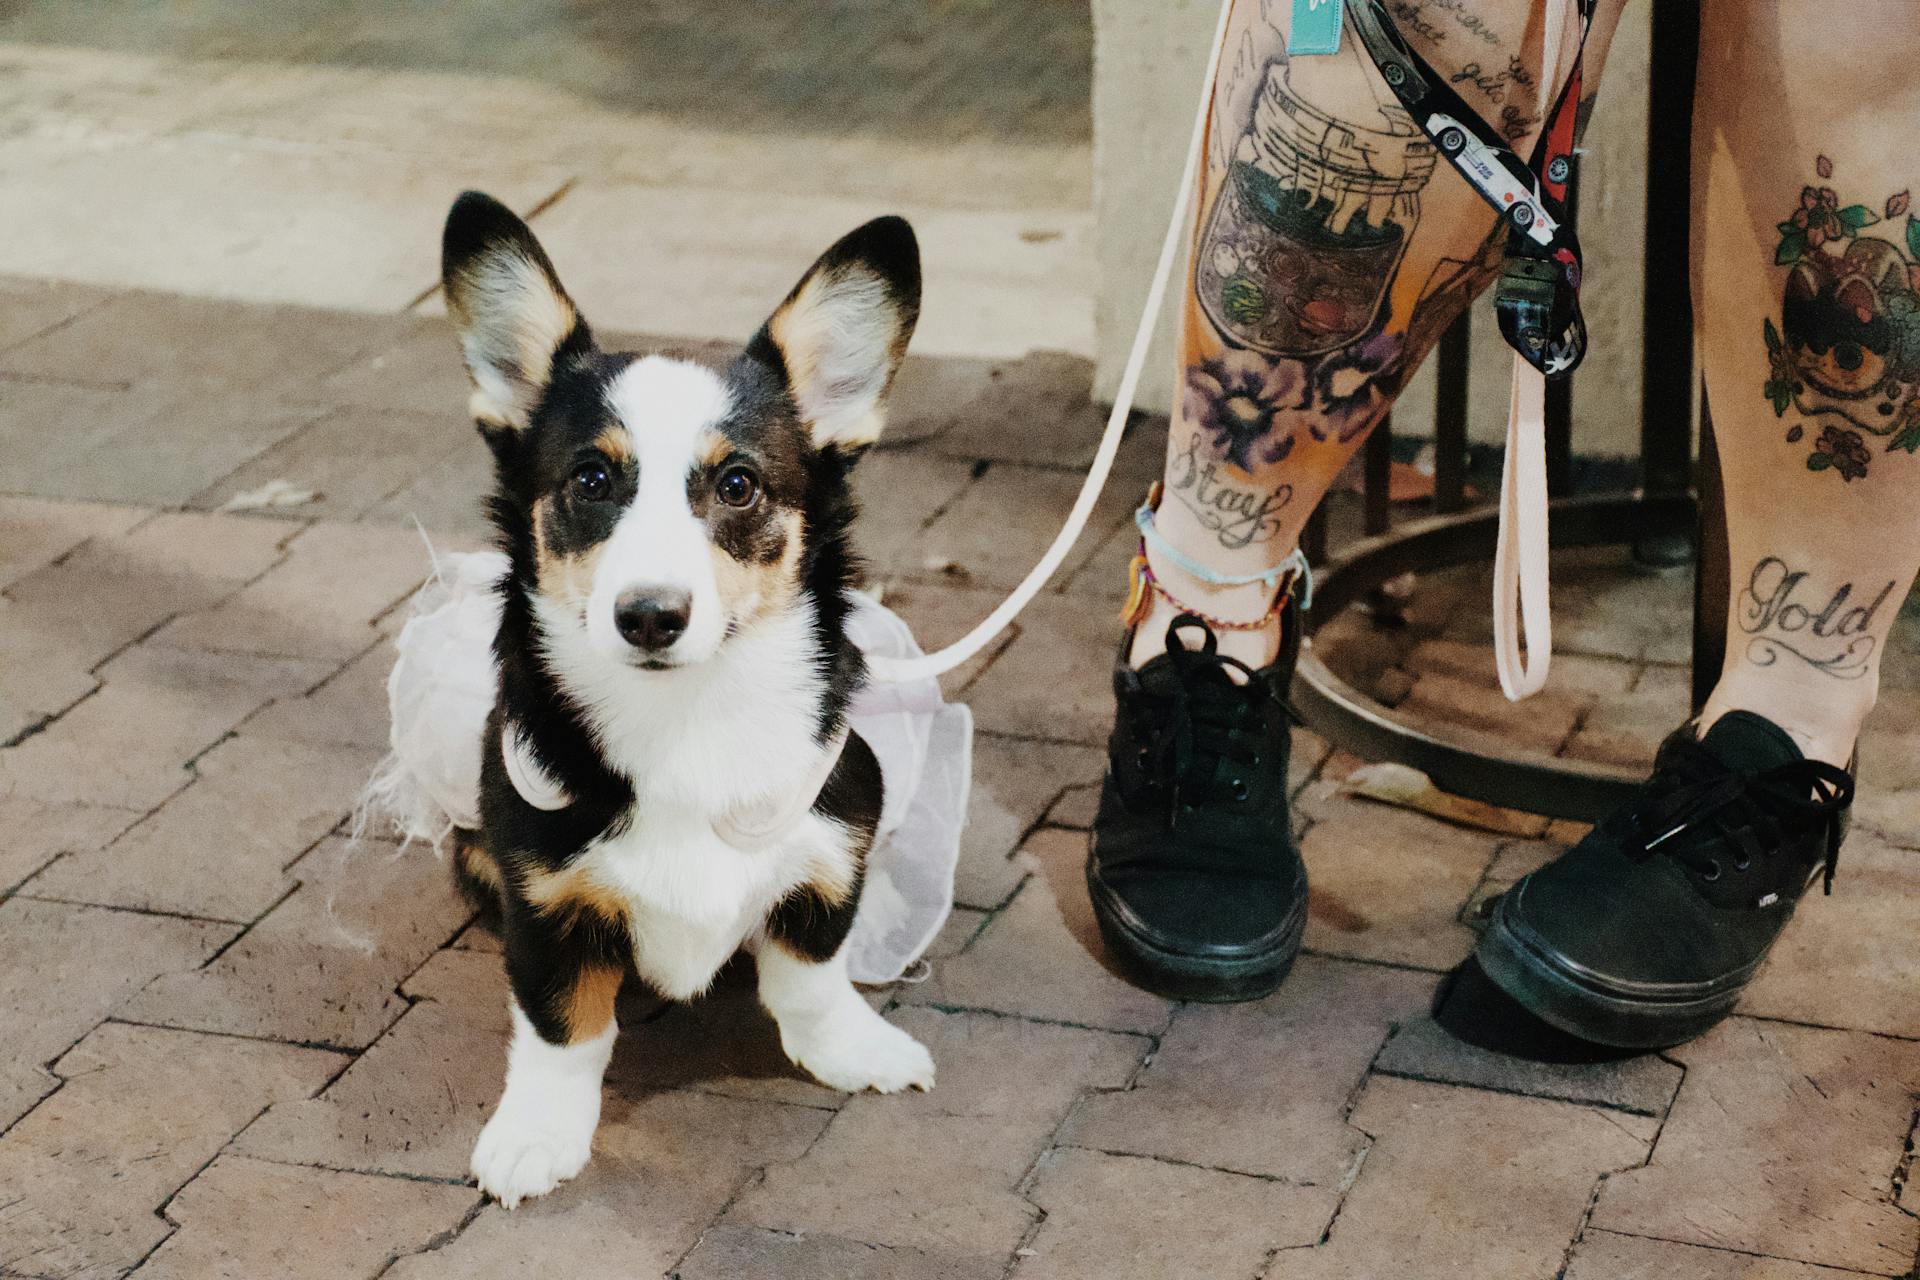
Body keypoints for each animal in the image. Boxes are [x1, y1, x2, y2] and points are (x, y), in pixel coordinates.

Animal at [443, 192, 936, 1212]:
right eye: (591, 480)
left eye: (738, 484)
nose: (650, 617)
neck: (686, 717)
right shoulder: (544, 899)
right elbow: (564, 1030)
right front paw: (537, 1136)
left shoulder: (838, 833)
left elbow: (811, 973)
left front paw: (854, 1051)